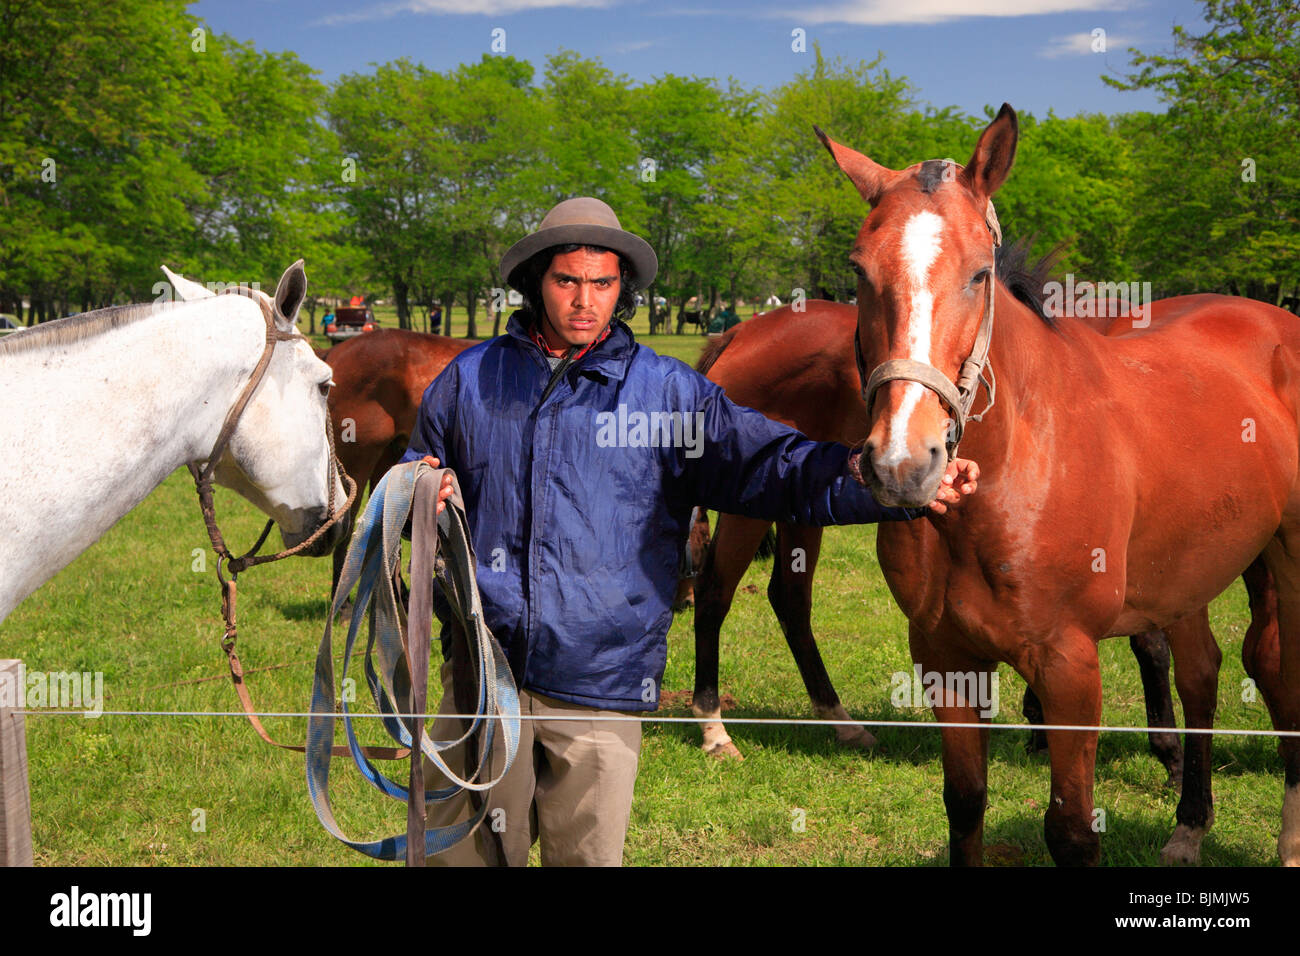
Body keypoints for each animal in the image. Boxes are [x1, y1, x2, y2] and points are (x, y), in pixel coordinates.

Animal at [685, 293, 1186, 789]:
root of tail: (740, 332)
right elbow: (1151, 644)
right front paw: (1170, 755)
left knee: (789, 598)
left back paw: (839, 720)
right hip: (748, 501)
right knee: (714, 591)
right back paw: (714, 727)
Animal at [815, 103, 1300, 866]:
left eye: (979, 274)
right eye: (859, 271)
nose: (902, 463)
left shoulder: (1069, 666)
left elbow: (1070, 830)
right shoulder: (945, 659)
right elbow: (965, 805)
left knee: (1278, 667)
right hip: (1191, 572)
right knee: (1203, 673)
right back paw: (1189, 825)